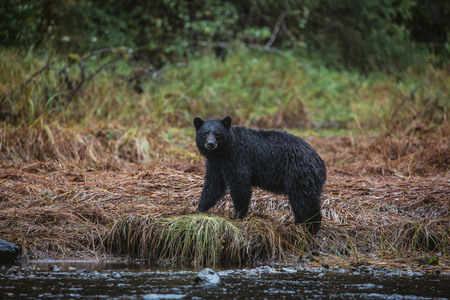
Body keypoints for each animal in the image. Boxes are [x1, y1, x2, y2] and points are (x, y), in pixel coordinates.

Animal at [193, 116, 326, 233]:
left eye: (217, 134)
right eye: (205, 133)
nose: (210, 144)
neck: (222, 153)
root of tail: (319, 160)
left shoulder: (238, 159)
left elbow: (240, 185)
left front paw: (237, 216)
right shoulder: (215, 165)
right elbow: (213, 185)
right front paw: (199, 209)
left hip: (300, 174)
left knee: (305, 201)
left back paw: (311, 228)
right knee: (300, 203)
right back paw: (298, 224)